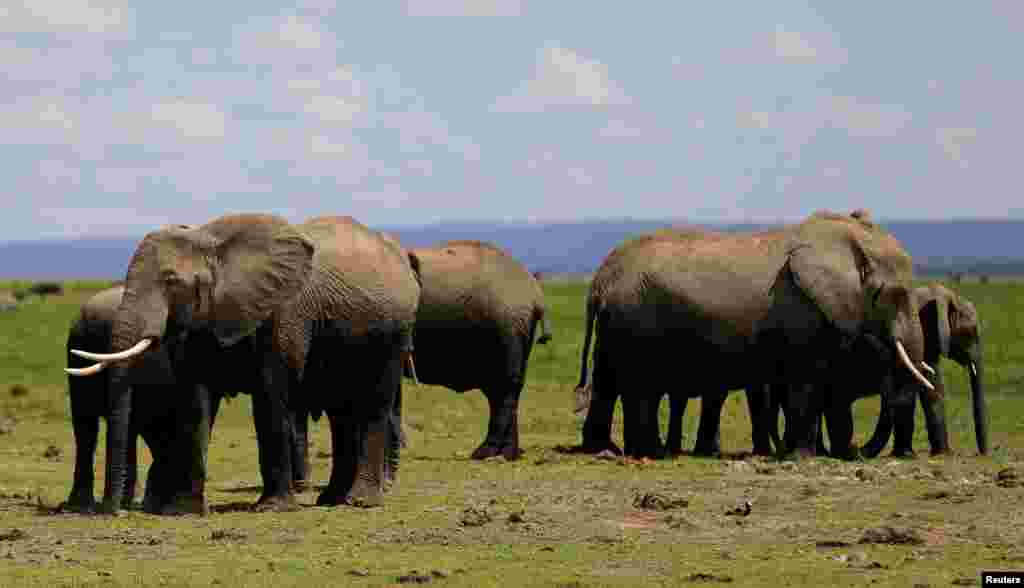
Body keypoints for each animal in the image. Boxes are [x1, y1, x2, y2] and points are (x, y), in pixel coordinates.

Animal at [66, 214, 417, 514]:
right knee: (340, 413)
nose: (115, 513)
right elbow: (197, 398)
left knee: (374, 404)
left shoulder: (283, 310)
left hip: (395, 331)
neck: (210, 241)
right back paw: (331, 499)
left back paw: (361, 502)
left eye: (170, 280)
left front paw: (272, 507)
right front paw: (184, 510)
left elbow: (270, 395)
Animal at [573, 210, 933, 463]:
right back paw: (646, 452)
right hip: (636, 319)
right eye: (896, 296)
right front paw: (803, 457)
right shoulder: (801, 308)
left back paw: (609, 449)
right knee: (639, 384)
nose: (859, 451)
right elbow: (806, 379)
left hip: (620, 321)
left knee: (611, 381)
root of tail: (600, 278)